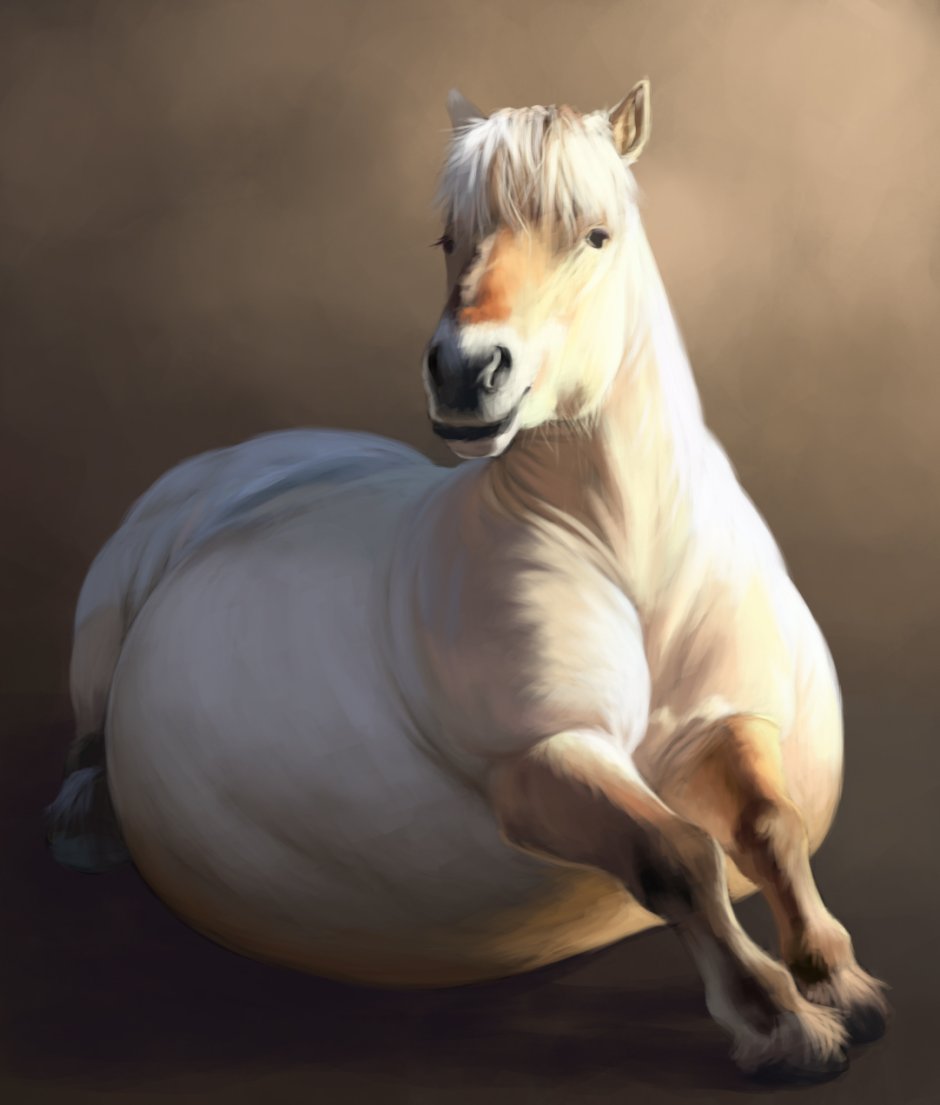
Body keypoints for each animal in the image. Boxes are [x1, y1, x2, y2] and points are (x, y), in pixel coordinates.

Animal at [47, 79, 887, 1081]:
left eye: (596, 235)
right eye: (450, 237)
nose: (464, 371)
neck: (628, 550)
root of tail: (249, 457)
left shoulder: (724, 718)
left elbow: (769, 826)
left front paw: (839, 978)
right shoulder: (538, 757)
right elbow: (679, 853)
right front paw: (779, 1019)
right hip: (100, 636)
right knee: (88, 737)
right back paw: (80, 823)